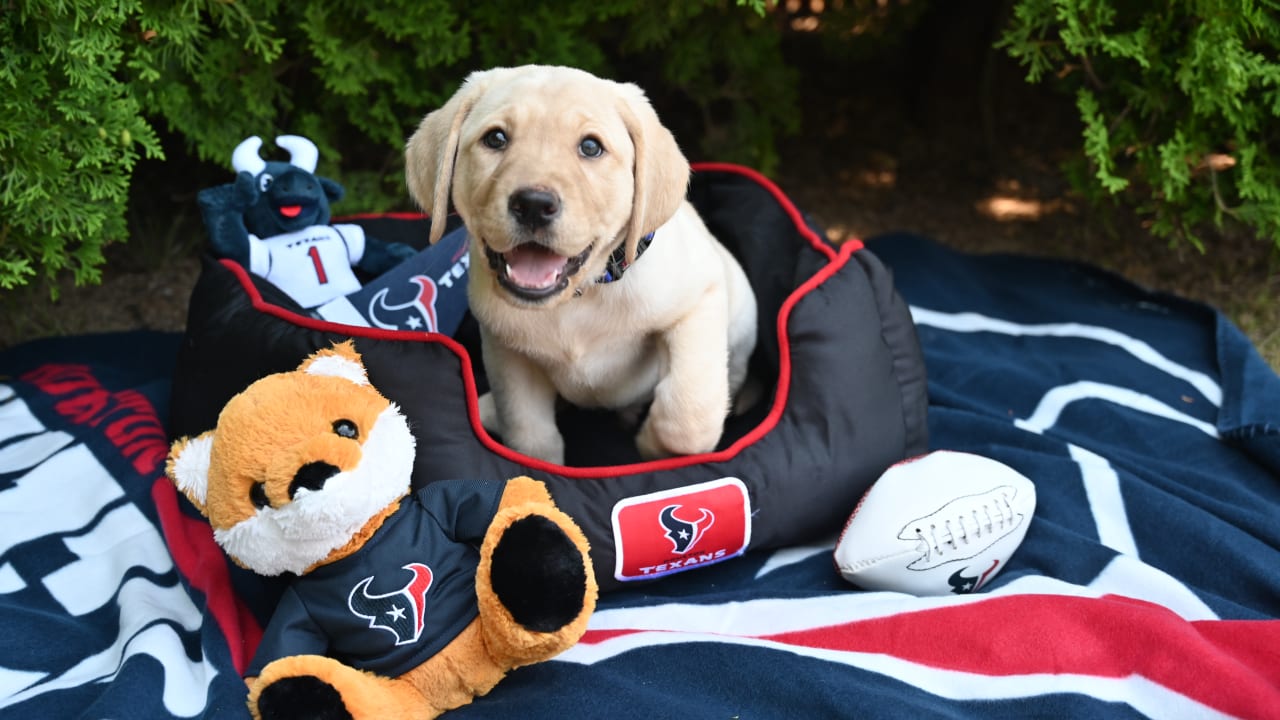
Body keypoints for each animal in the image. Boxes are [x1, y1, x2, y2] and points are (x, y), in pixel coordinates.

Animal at [404, 64, 752, 461]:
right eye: (495, 139)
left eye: (590, 147)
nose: (533, 204)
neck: (579, 298)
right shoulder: (507, 351)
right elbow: (529, 436)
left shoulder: (699, 301)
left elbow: (689, 417)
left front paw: (653, 447)